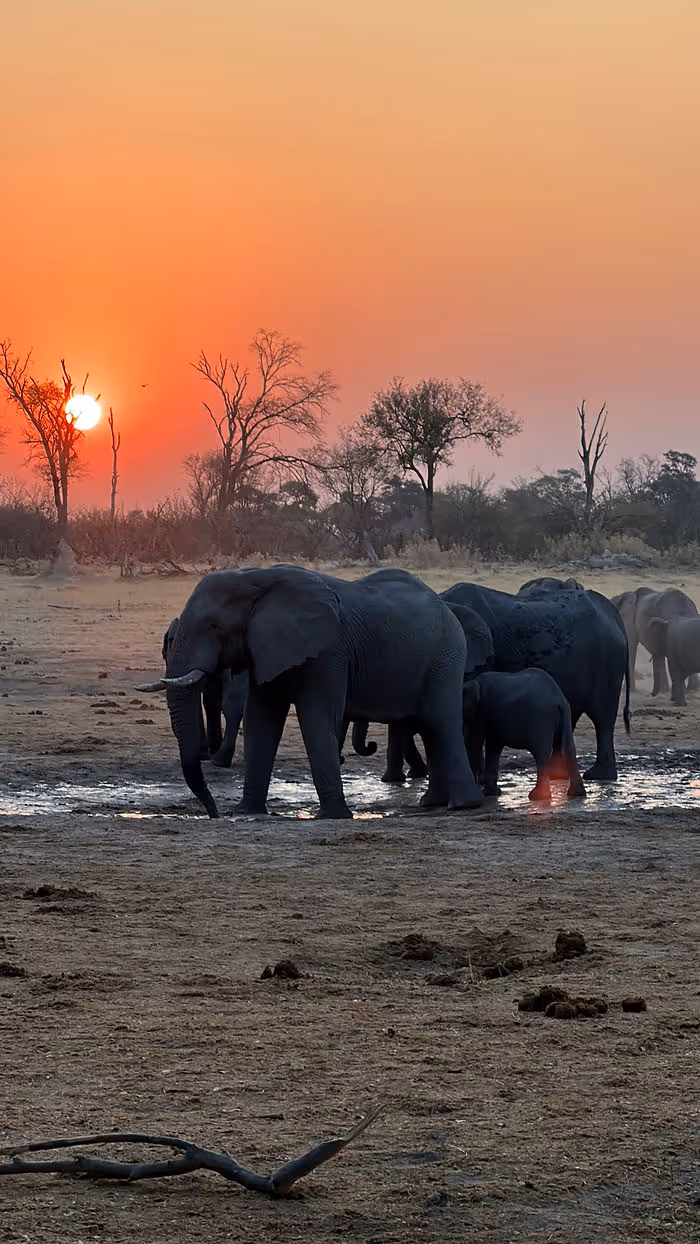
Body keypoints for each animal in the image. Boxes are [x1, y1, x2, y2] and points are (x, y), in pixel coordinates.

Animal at [139, 565, 486, 818]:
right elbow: (261, 720)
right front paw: (247, 811)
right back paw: (433, 804)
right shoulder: (266, 648)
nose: (215, 814)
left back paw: (462, 806)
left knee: (440, 721)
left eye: (213, 626)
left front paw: (333, 816)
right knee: (430, 727)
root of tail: (446, 608)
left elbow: (317, 718)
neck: (256, 580)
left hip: (445, 656)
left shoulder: (327, 651)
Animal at [461, 669, 586, 802]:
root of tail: (559, 699)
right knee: (568, 748)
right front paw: (491, 793)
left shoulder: (482, 709)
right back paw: (577, 794)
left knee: (541, 753)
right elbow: (493, 745)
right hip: (565, 714)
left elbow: (475, 741)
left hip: (541, 719)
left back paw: (537, 797)